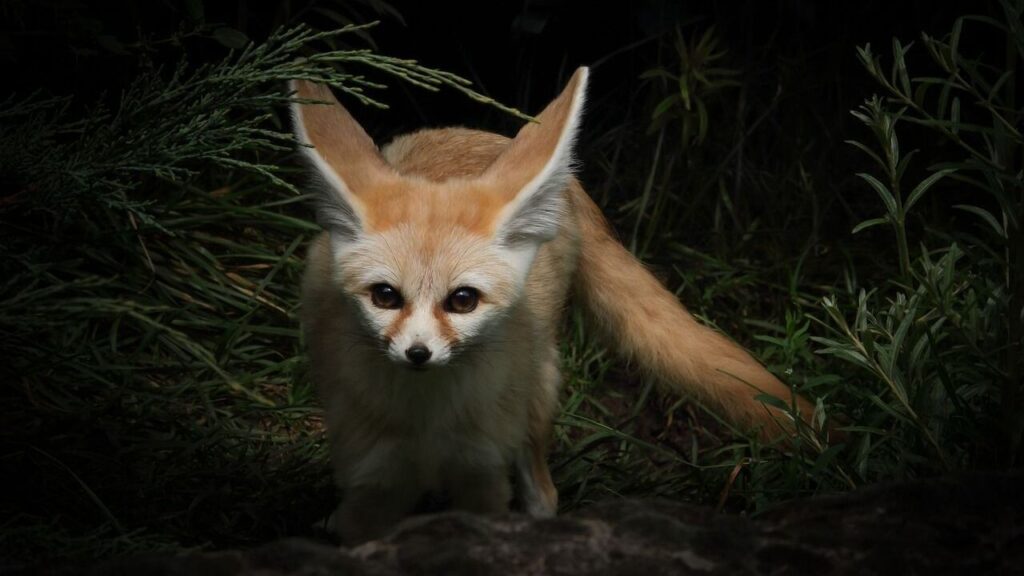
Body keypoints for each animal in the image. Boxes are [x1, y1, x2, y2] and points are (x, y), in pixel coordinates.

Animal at [290, 67, 816, 543]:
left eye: (462, 300)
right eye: (385, 295)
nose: (418, 354)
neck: (427, 423)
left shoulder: (481, 476)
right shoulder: (372, 480)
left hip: (537, 395)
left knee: (544, 490)